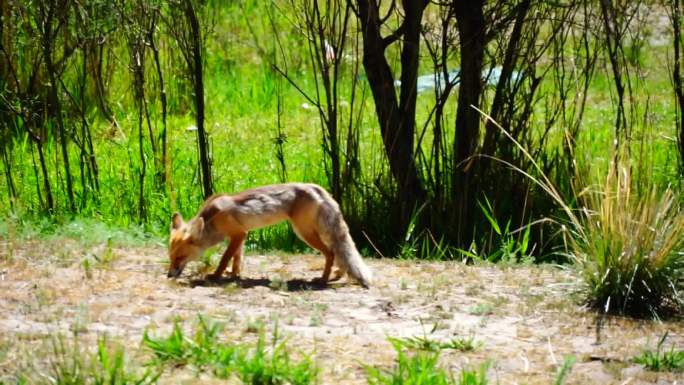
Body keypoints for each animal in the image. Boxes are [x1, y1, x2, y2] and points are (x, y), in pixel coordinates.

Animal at [167, 182, 374, 286]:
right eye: (170, 257)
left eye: (180, 257)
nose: (169, 275)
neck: (212, 219)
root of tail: (318, 188)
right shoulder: (240, 236)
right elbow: (236, 259)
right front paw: (234, 275)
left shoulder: (239, 234)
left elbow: (225, 258)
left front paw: (216, 276)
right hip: (314, 232)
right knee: (338, 252)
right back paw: (338, 274)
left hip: (304, 233)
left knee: (331, 252)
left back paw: (323, 279)